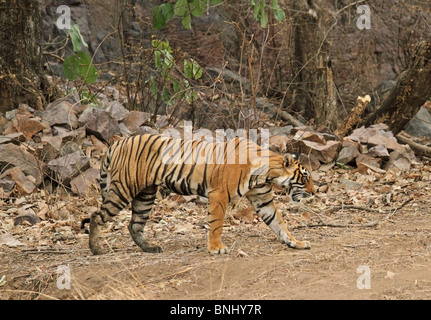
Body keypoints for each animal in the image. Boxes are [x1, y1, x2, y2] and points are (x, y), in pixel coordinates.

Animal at [83, 132, 314, 255]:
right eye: (305, 177)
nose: (314, 192)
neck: (265, 174)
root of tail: (118, 142)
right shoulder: (219, 194)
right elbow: (216, 224)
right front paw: (216, 248)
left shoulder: (263, 199)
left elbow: (279, 223)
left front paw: (296, 243)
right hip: (124, 189)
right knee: (96, 216)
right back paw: (96, 249)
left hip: (145, 195)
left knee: (134, 224)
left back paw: (150, 247)